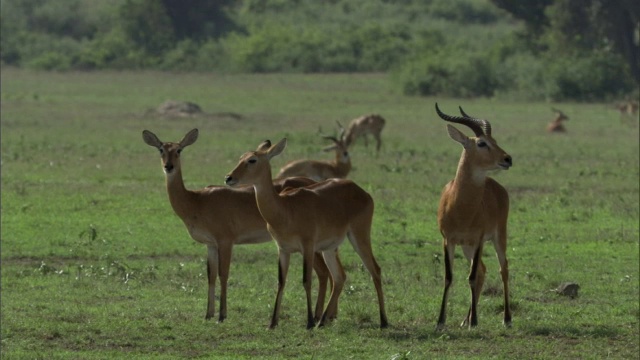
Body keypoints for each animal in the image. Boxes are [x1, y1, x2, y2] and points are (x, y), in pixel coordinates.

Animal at [142, 129, 332, 324]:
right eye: (161, 150)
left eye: (179, 150)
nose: (169, 166)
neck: (196, 201)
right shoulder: (210, 244)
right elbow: (210, 275)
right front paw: (208, 314)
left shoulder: (225, 241)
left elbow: (223, 273)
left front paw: (222, 315)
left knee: (324, 273)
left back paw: (319, 317)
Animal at [225, 138, 388, 330]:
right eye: (241, 157)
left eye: (252, 160)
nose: (229, 178)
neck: (285, 210)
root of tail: (361, 190)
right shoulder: (283, 249)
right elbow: (281, 282)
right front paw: (272, 323)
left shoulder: (308, 247)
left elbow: (306, 280)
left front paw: (309, 321)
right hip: (329, 248)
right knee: (339, 277)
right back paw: (323, 320)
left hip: (359, 236)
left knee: (374, 270)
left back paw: (383, 321)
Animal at [432, 103, 512, 330]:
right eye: (482, 143)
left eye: (495, 141)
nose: (507, 159)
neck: (461, 208)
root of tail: (498, 187)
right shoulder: (448, 240)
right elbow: (449, 277)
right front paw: (440, 321)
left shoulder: (478, 240)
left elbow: (472, 277)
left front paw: (475, 321)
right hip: (466, 247)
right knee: (484, 270)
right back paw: (464, 319)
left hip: (497, 238)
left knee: (503, 269)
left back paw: (506, 319)